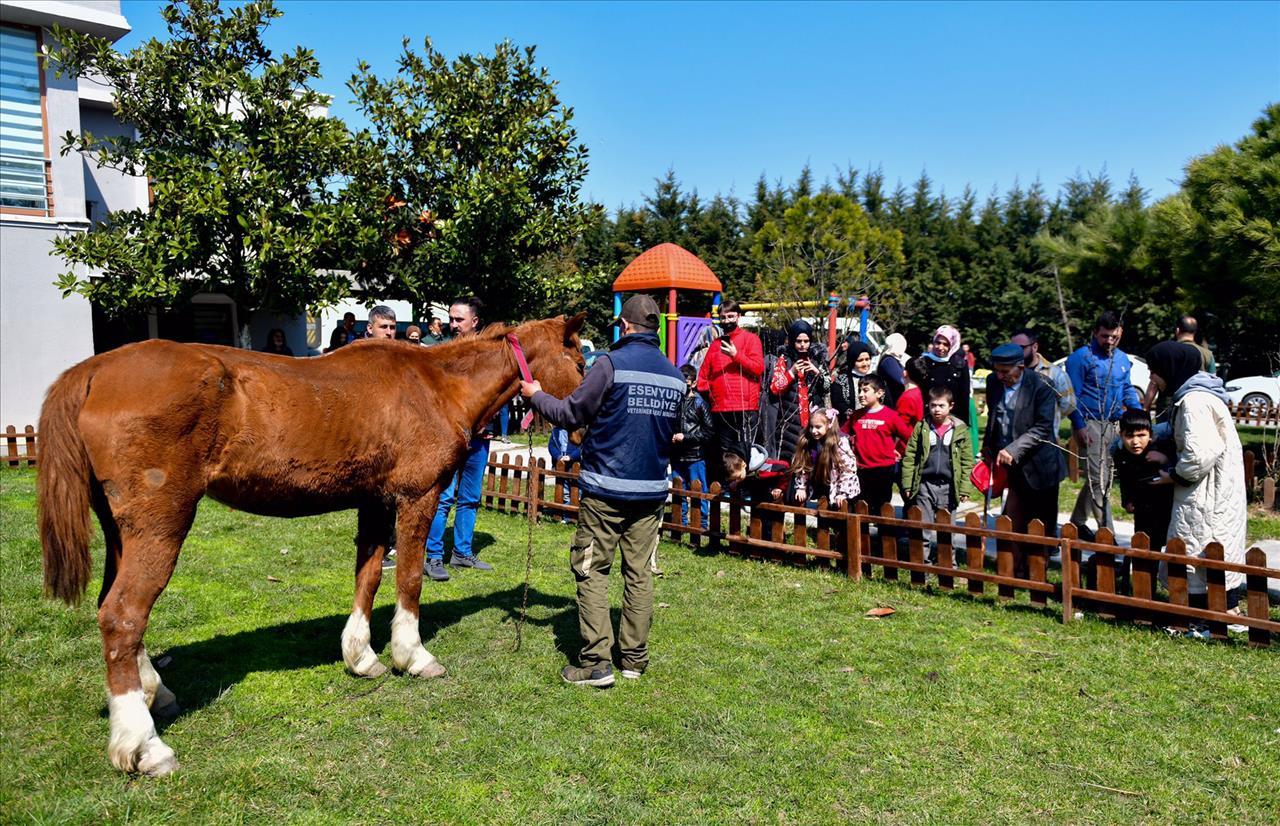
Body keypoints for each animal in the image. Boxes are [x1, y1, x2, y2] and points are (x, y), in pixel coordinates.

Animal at [35, 312, 586, 778]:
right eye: (582, 360)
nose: (582, 432)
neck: (435, 385)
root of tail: (92, 370)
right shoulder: (418, 497)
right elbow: (408, 578)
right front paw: (412, 655)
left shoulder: (374, 501)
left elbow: (369, 576)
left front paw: (362, 657)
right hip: (160, 525)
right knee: (123, 616)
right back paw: (144, 745)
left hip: (121, 531)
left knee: (115, 611)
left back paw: (154, 692)